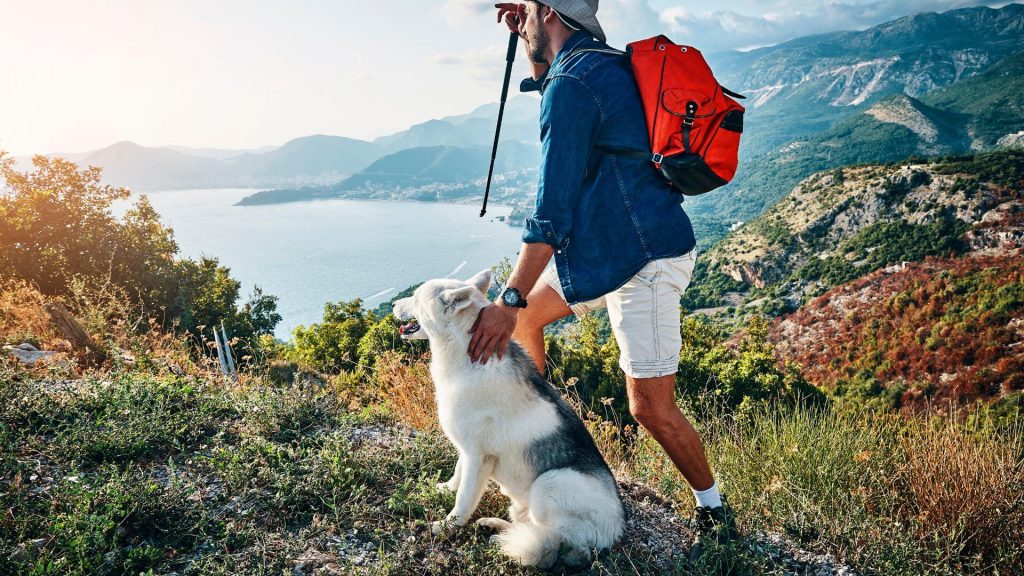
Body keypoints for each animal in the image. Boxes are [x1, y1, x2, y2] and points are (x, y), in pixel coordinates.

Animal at [391, 268, 622, 565]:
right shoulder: (467, 451)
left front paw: (447, 526)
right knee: (525, 525)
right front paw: (446, 488)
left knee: (549, 538)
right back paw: (496, 528)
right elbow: (458, 475)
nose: (394, 305)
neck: (462, 353)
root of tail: (613, 534)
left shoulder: (478, 457)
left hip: (549, 484)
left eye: (416, 297)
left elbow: (464, 500)